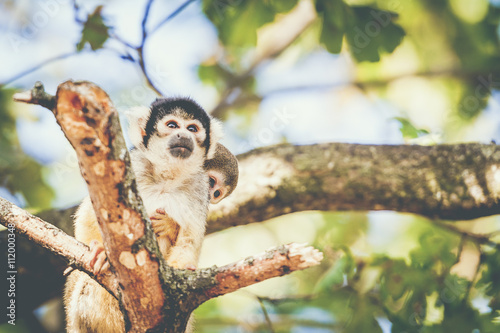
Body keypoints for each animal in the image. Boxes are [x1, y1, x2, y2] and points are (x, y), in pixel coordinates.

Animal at [64, 97, 238, 330]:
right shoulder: (133, 165)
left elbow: (189, 240)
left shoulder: (198, 190)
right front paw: (100, 249)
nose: (184, 135)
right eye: (172, 125)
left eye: (193, 129)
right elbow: (89, 213)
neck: (167, 177)